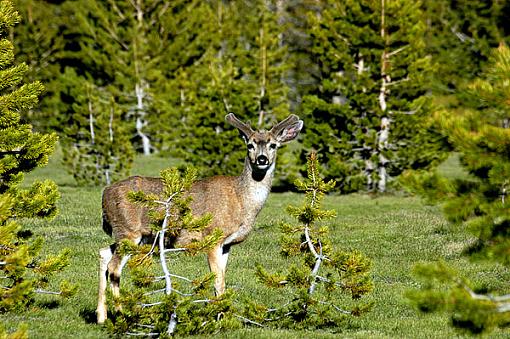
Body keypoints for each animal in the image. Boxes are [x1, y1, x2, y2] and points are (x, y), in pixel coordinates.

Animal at [96, 113, 302, 324]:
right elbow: (217, 281)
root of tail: (105, 193)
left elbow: (223, 280)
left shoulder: (227, 244)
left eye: (273, 145)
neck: (241, 201)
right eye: (250, 145)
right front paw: (220, 317)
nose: (261, 159)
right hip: (128, 230)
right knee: (114, 267)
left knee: (103, 253)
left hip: (133, 236)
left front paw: (224, 316)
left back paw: (101, 316)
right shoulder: (212, 237)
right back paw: (121, 314)